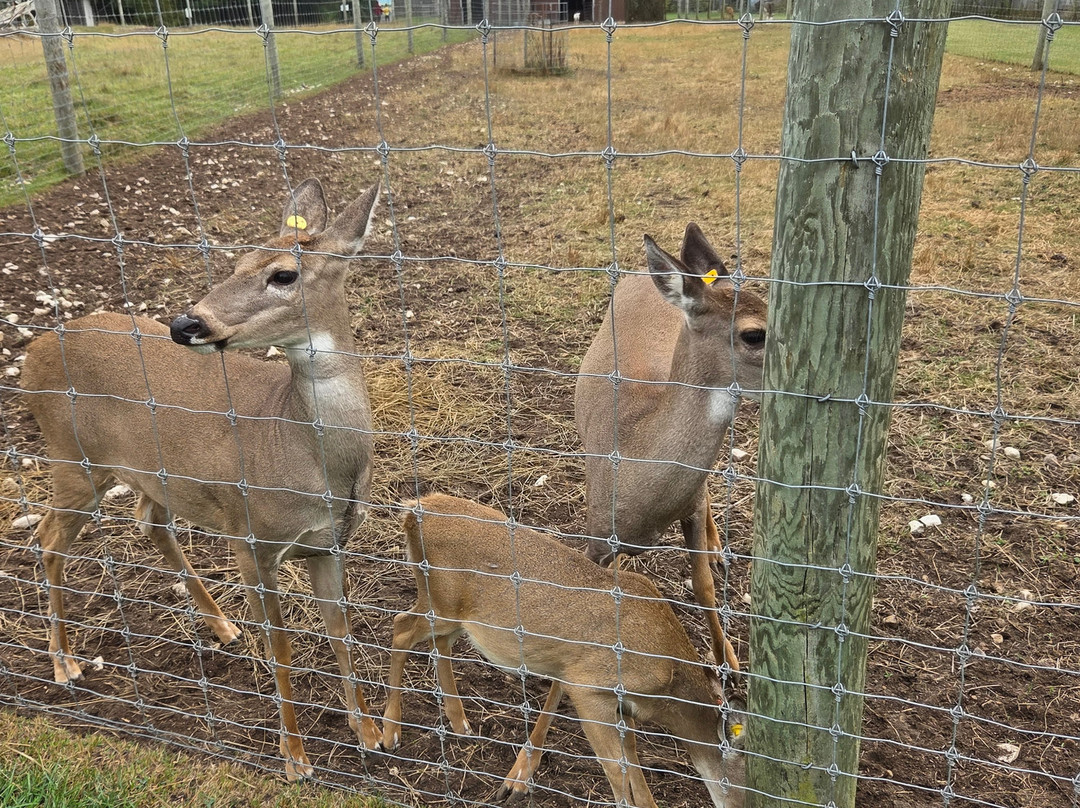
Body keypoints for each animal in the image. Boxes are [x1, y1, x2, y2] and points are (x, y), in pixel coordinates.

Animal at [20, 177, 383, 781]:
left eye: (283, 274)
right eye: (235, 263)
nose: (185, 324)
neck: (310, 457)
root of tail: (35, 348)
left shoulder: (328, 543)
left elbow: (341, 633)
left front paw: (372, 732)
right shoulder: (250, 540)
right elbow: (282, 647)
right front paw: (295, 757)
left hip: (153, 473)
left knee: (148, 521)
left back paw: (222, 627)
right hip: (72, 458)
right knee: (49, 537)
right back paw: (64, 663)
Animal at [382, 493, 748, 808]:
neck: (668, 681)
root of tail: (413, 510)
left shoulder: (622, 704)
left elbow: (632, 757)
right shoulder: (586, 685)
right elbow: (616, 767)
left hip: (453, 614)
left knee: (436, 642)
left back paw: (460, 723)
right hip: (440, 602)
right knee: (400, 628)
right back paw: (389, 733)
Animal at [574, 224, 767, 675]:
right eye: (754, 333)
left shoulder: (690, 505)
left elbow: (705, 588)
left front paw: (728, 660)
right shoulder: (596, 537)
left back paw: (717, 549)